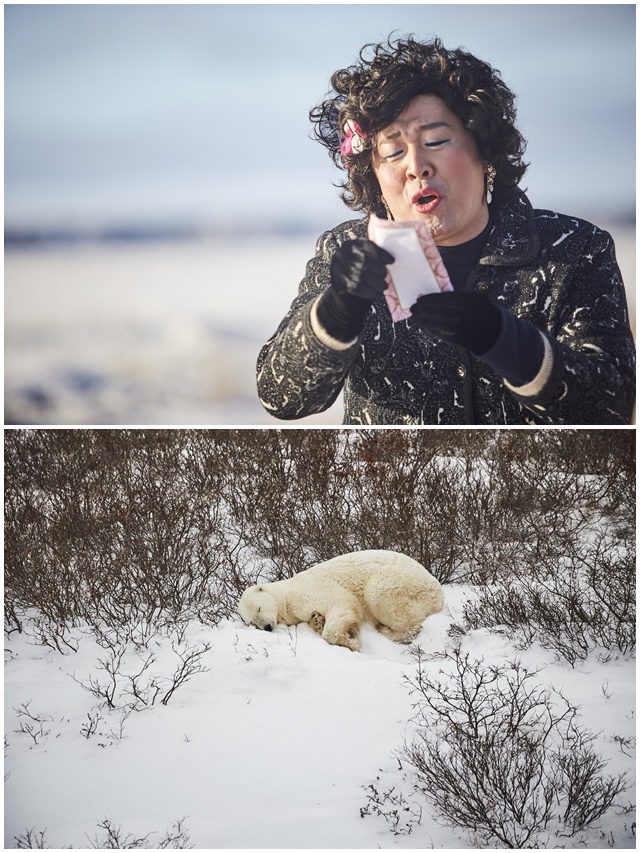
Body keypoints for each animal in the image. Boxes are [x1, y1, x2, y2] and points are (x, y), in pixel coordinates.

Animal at [238, 548, 442, 648]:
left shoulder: (308, 589)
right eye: (252, 622)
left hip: (400, 582)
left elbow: (339, 603)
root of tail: (439, 594)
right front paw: (317, 621)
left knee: (383, 598)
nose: (267, 627)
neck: (287, 594)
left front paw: (350, 642)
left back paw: (386, 630)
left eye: (258, 608)